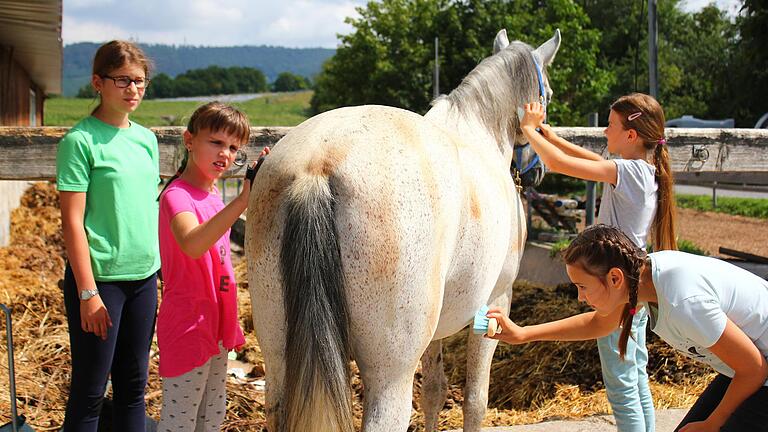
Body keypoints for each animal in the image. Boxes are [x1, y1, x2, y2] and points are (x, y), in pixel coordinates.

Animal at [249, 28, 560, 430]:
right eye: (547, 93)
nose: (538, 171)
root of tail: (316, 166)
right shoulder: (495, 303)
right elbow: (475, 400)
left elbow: (435, 392)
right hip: (390, 375)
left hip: (278, 357)